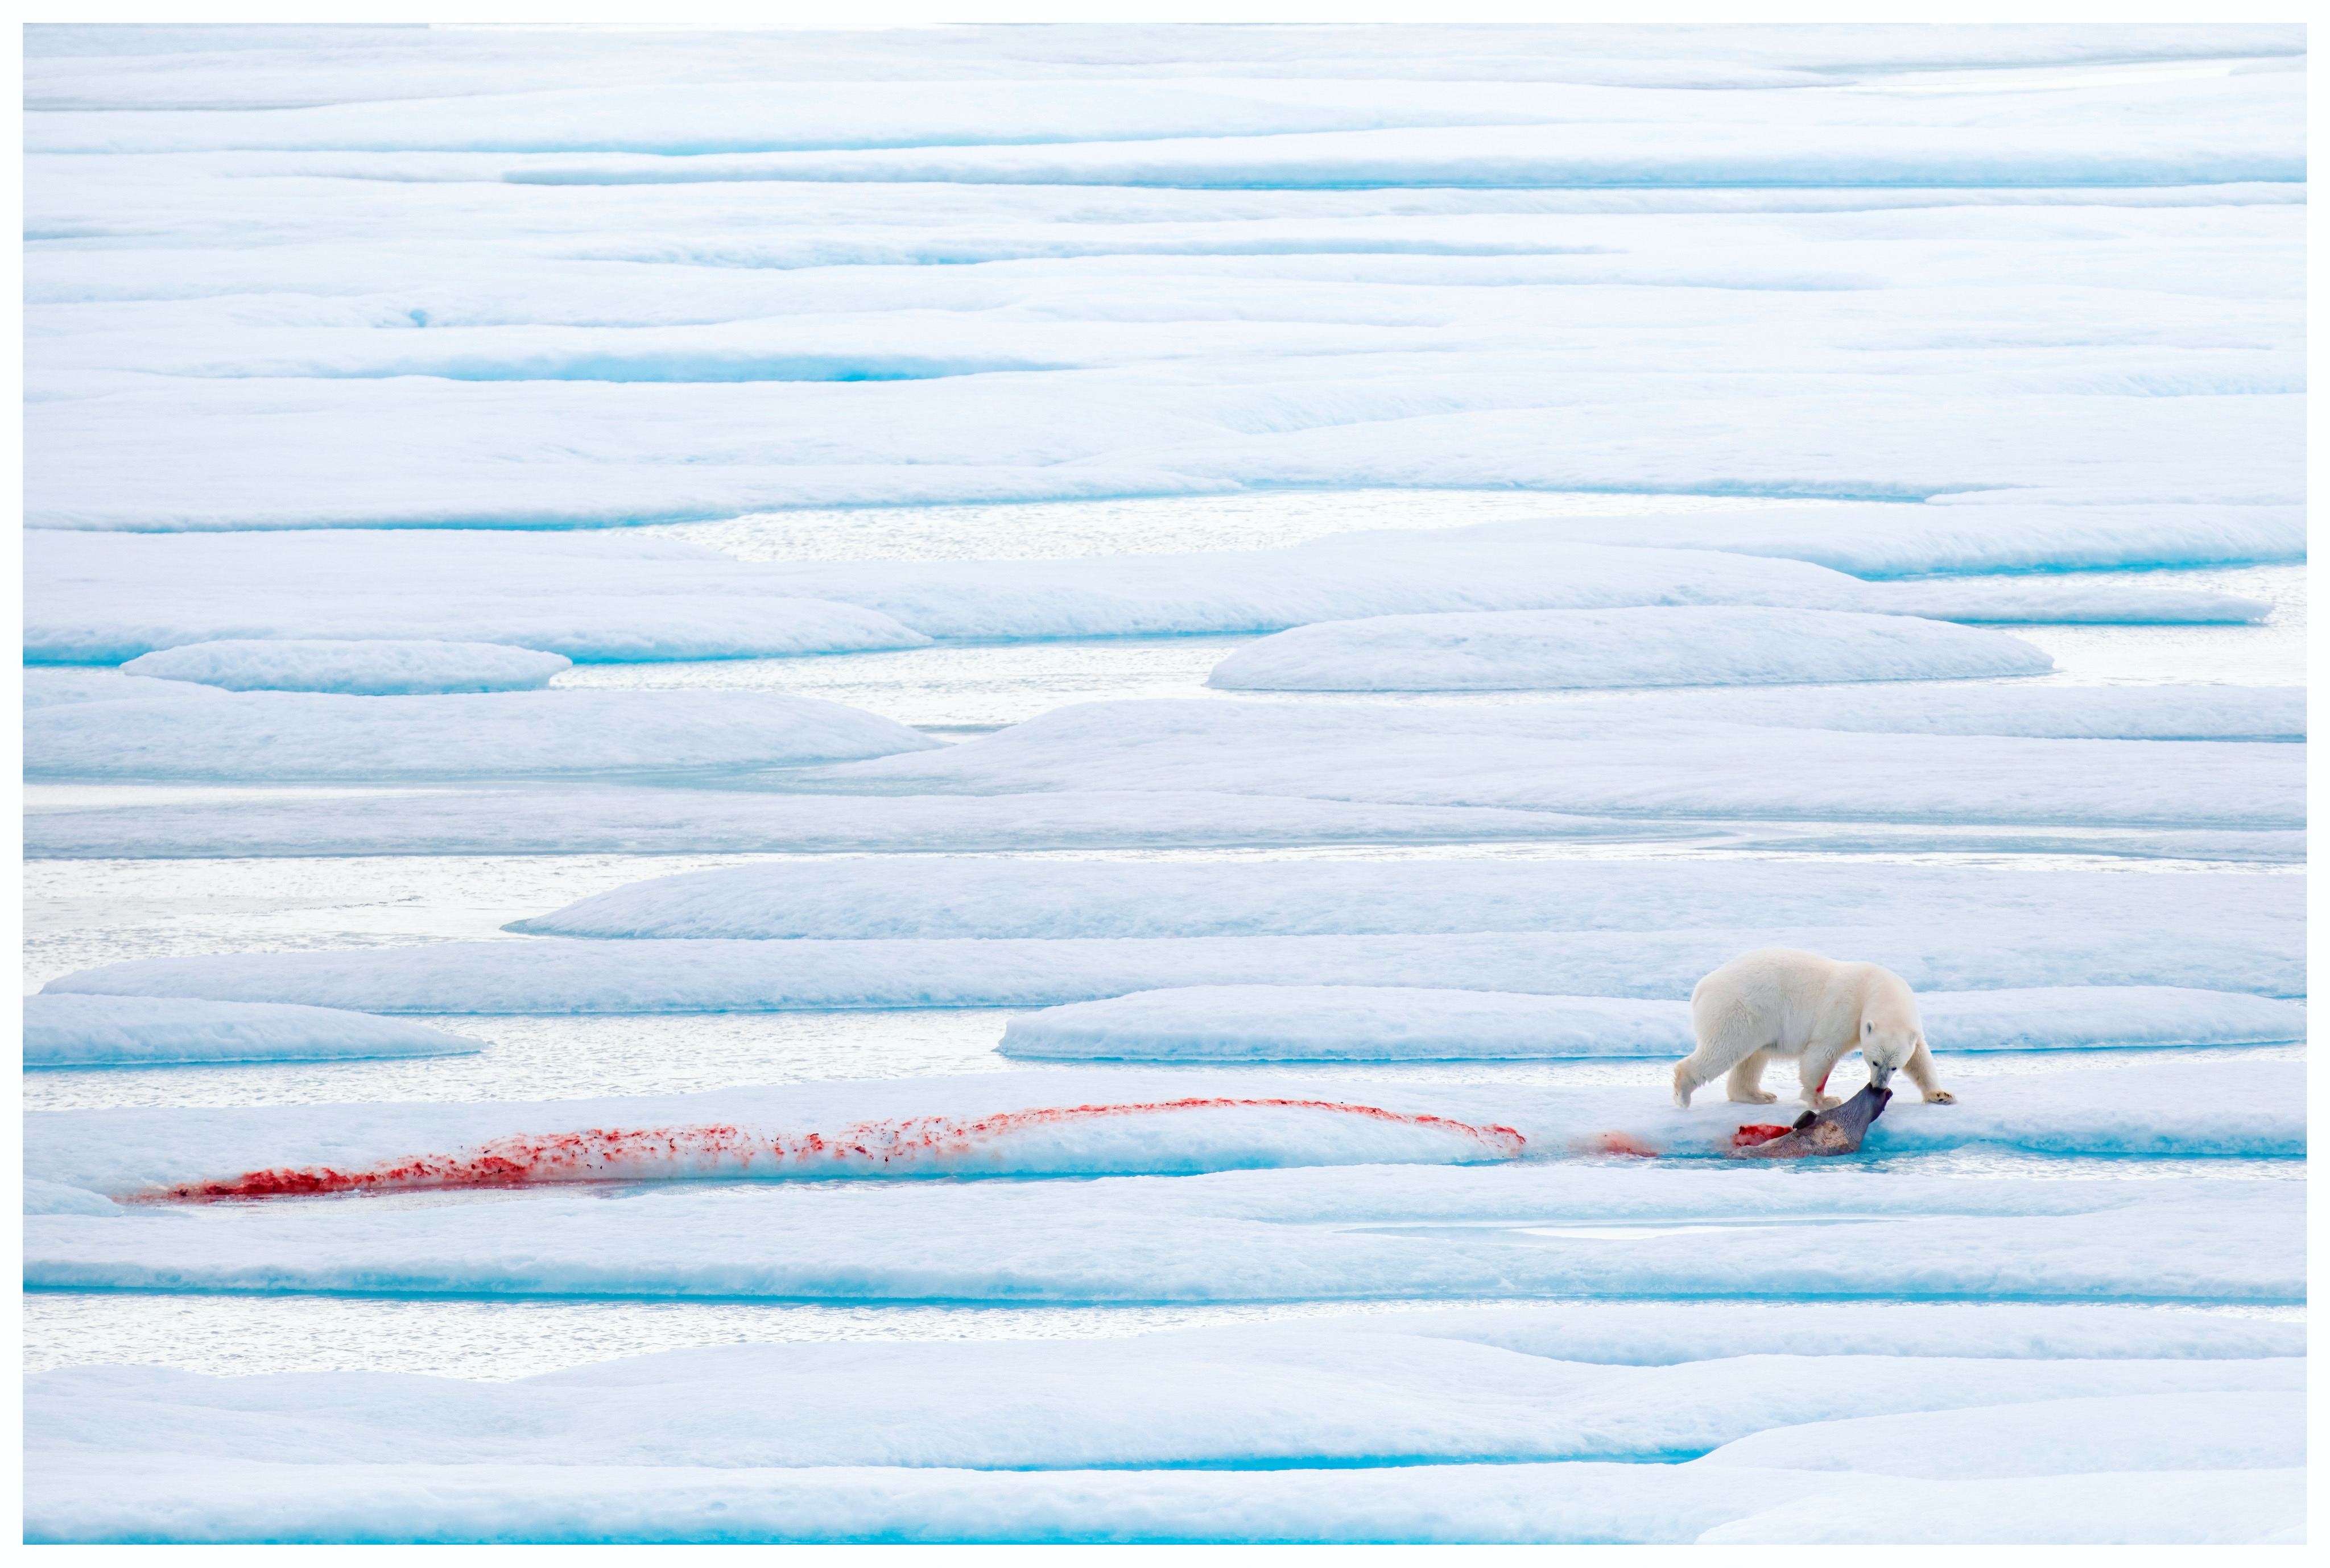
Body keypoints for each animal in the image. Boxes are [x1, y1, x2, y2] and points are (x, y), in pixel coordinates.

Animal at [1678, 941, 1948, 1114]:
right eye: (1874, 1062)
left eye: (1894, 1067)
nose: (1878, 1086)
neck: (1874, 986)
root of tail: (1703, 986)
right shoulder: (1844, 1011)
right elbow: (1821, 1054)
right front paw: (1826, 1100)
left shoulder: (1911, 1027)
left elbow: (1920, 1058)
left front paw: (1940, 1096)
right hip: (1738, 1009)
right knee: (1723, 1050)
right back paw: (1683, 1092)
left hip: (1756, 1020)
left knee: (1753, 1057)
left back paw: (1758, 1095)